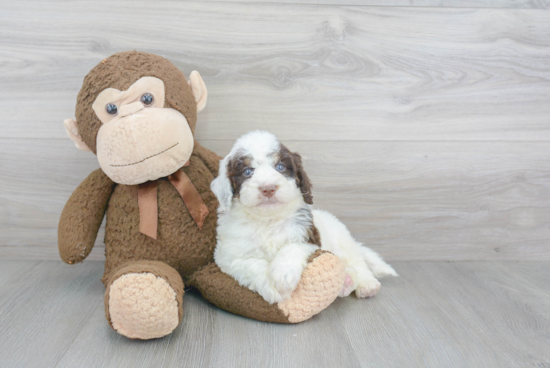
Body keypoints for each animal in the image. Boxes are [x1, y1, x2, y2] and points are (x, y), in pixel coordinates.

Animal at [210, 131, 396, 304]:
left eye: (280, 167)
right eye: (247, 171)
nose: (268, 188)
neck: (268, 221)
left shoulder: (309, 238)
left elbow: (291, 247)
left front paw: (282, 274)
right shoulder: (229, 256)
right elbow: (251, 264)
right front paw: (272, 287)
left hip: (342, 239)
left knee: (357, 261)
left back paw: (367, 285)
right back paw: (346, 283)